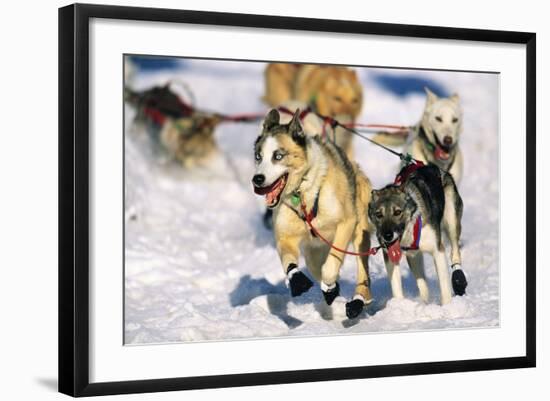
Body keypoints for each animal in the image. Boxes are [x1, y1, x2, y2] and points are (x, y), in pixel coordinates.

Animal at [253, 108, 376, 318]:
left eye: (278, 156)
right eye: (258, 156)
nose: (257, 179)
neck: (303, 195)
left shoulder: (346, 223)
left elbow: (331, 266)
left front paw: (330, 286)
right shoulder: (285, 237)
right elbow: (289, 262)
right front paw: (297, 281)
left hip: (360, 235)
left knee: (362, 271)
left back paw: (358, 300)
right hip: (312, 251)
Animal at [368, 162, 468, 304]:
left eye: (397, 212)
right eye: (379, 214)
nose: (387, 236)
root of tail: (430, 166)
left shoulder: (437, 250)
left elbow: (444, 286)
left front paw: (447, 305)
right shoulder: (390, 257)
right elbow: (397, 286)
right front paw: (399, 305)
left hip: (452, 221)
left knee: (455, 252)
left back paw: (458, 279)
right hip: (414, 257)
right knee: (421, 281)